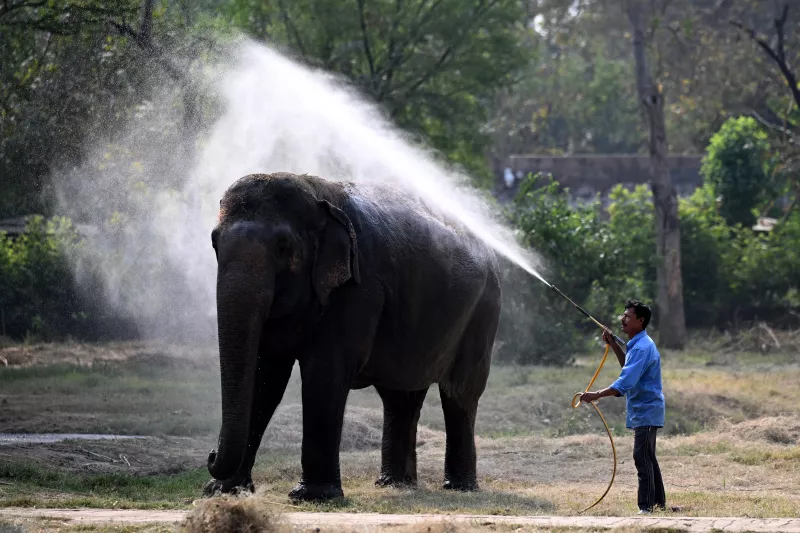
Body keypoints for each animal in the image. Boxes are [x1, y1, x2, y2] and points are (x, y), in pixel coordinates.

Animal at [204, 171, 502, 502]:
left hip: (482, 315)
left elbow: (324, 372)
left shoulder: (359, 288)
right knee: (400, 396)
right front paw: (222, 492)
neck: (317, 196)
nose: (210, 455)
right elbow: (264, 377)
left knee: (459, 393)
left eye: (283, 247)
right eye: (214, 242)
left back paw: (459, 487)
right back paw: (394, 484)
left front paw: (313, 496)